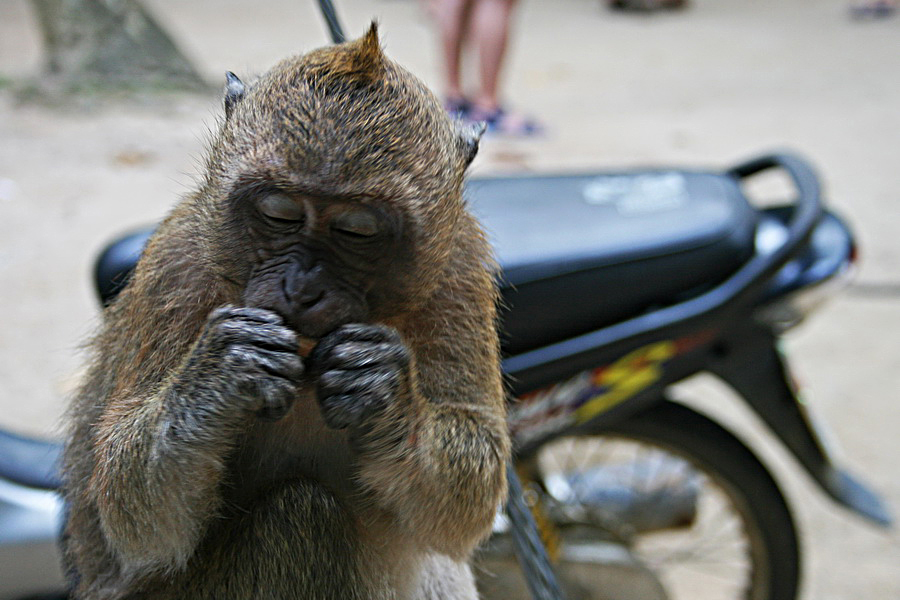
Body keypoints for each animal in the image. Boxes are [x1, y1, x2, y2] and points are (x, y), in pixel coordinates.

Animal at [61, 24, 512, 600]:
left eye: (356, 230)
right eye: (279, 214)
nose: (301, 289)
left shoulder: (459, 270)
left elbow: (466, 504)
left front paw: (383, 389)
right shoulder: (177, 265)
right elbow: (133, 517)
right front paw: (223, 373)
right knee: (300, 513)